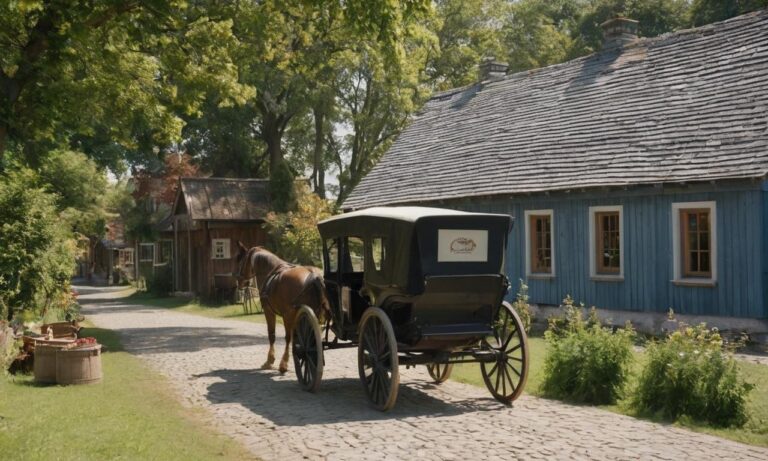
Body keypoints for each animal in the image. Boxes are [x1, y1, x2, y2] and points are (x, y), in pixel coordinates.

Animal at [234, 241, 330, 374]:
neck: (271, 270)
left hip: (291, 316)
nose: (239, 282)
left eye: (240, 260)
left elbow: (272, 335)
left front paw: (270, 361)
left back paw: (284, 364)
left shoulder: (269, 312)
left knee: (289, 338)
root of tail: (313, 275)